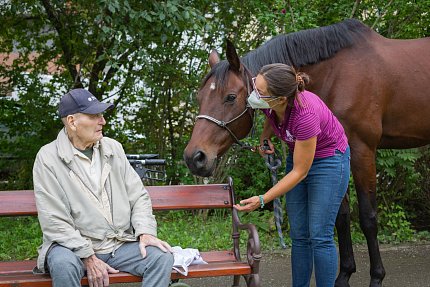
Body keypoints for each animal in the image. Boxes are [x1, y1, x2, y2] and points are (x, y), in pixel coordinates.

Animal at [183, 18, 430, 287]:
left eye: (230, 97)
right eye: (199, 97)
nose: (194, 157)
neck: (338, 73)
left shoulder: (363, 151)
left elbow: (368, 217)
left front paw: (376, 277)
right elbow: (340, 217)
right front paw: (344, 274)